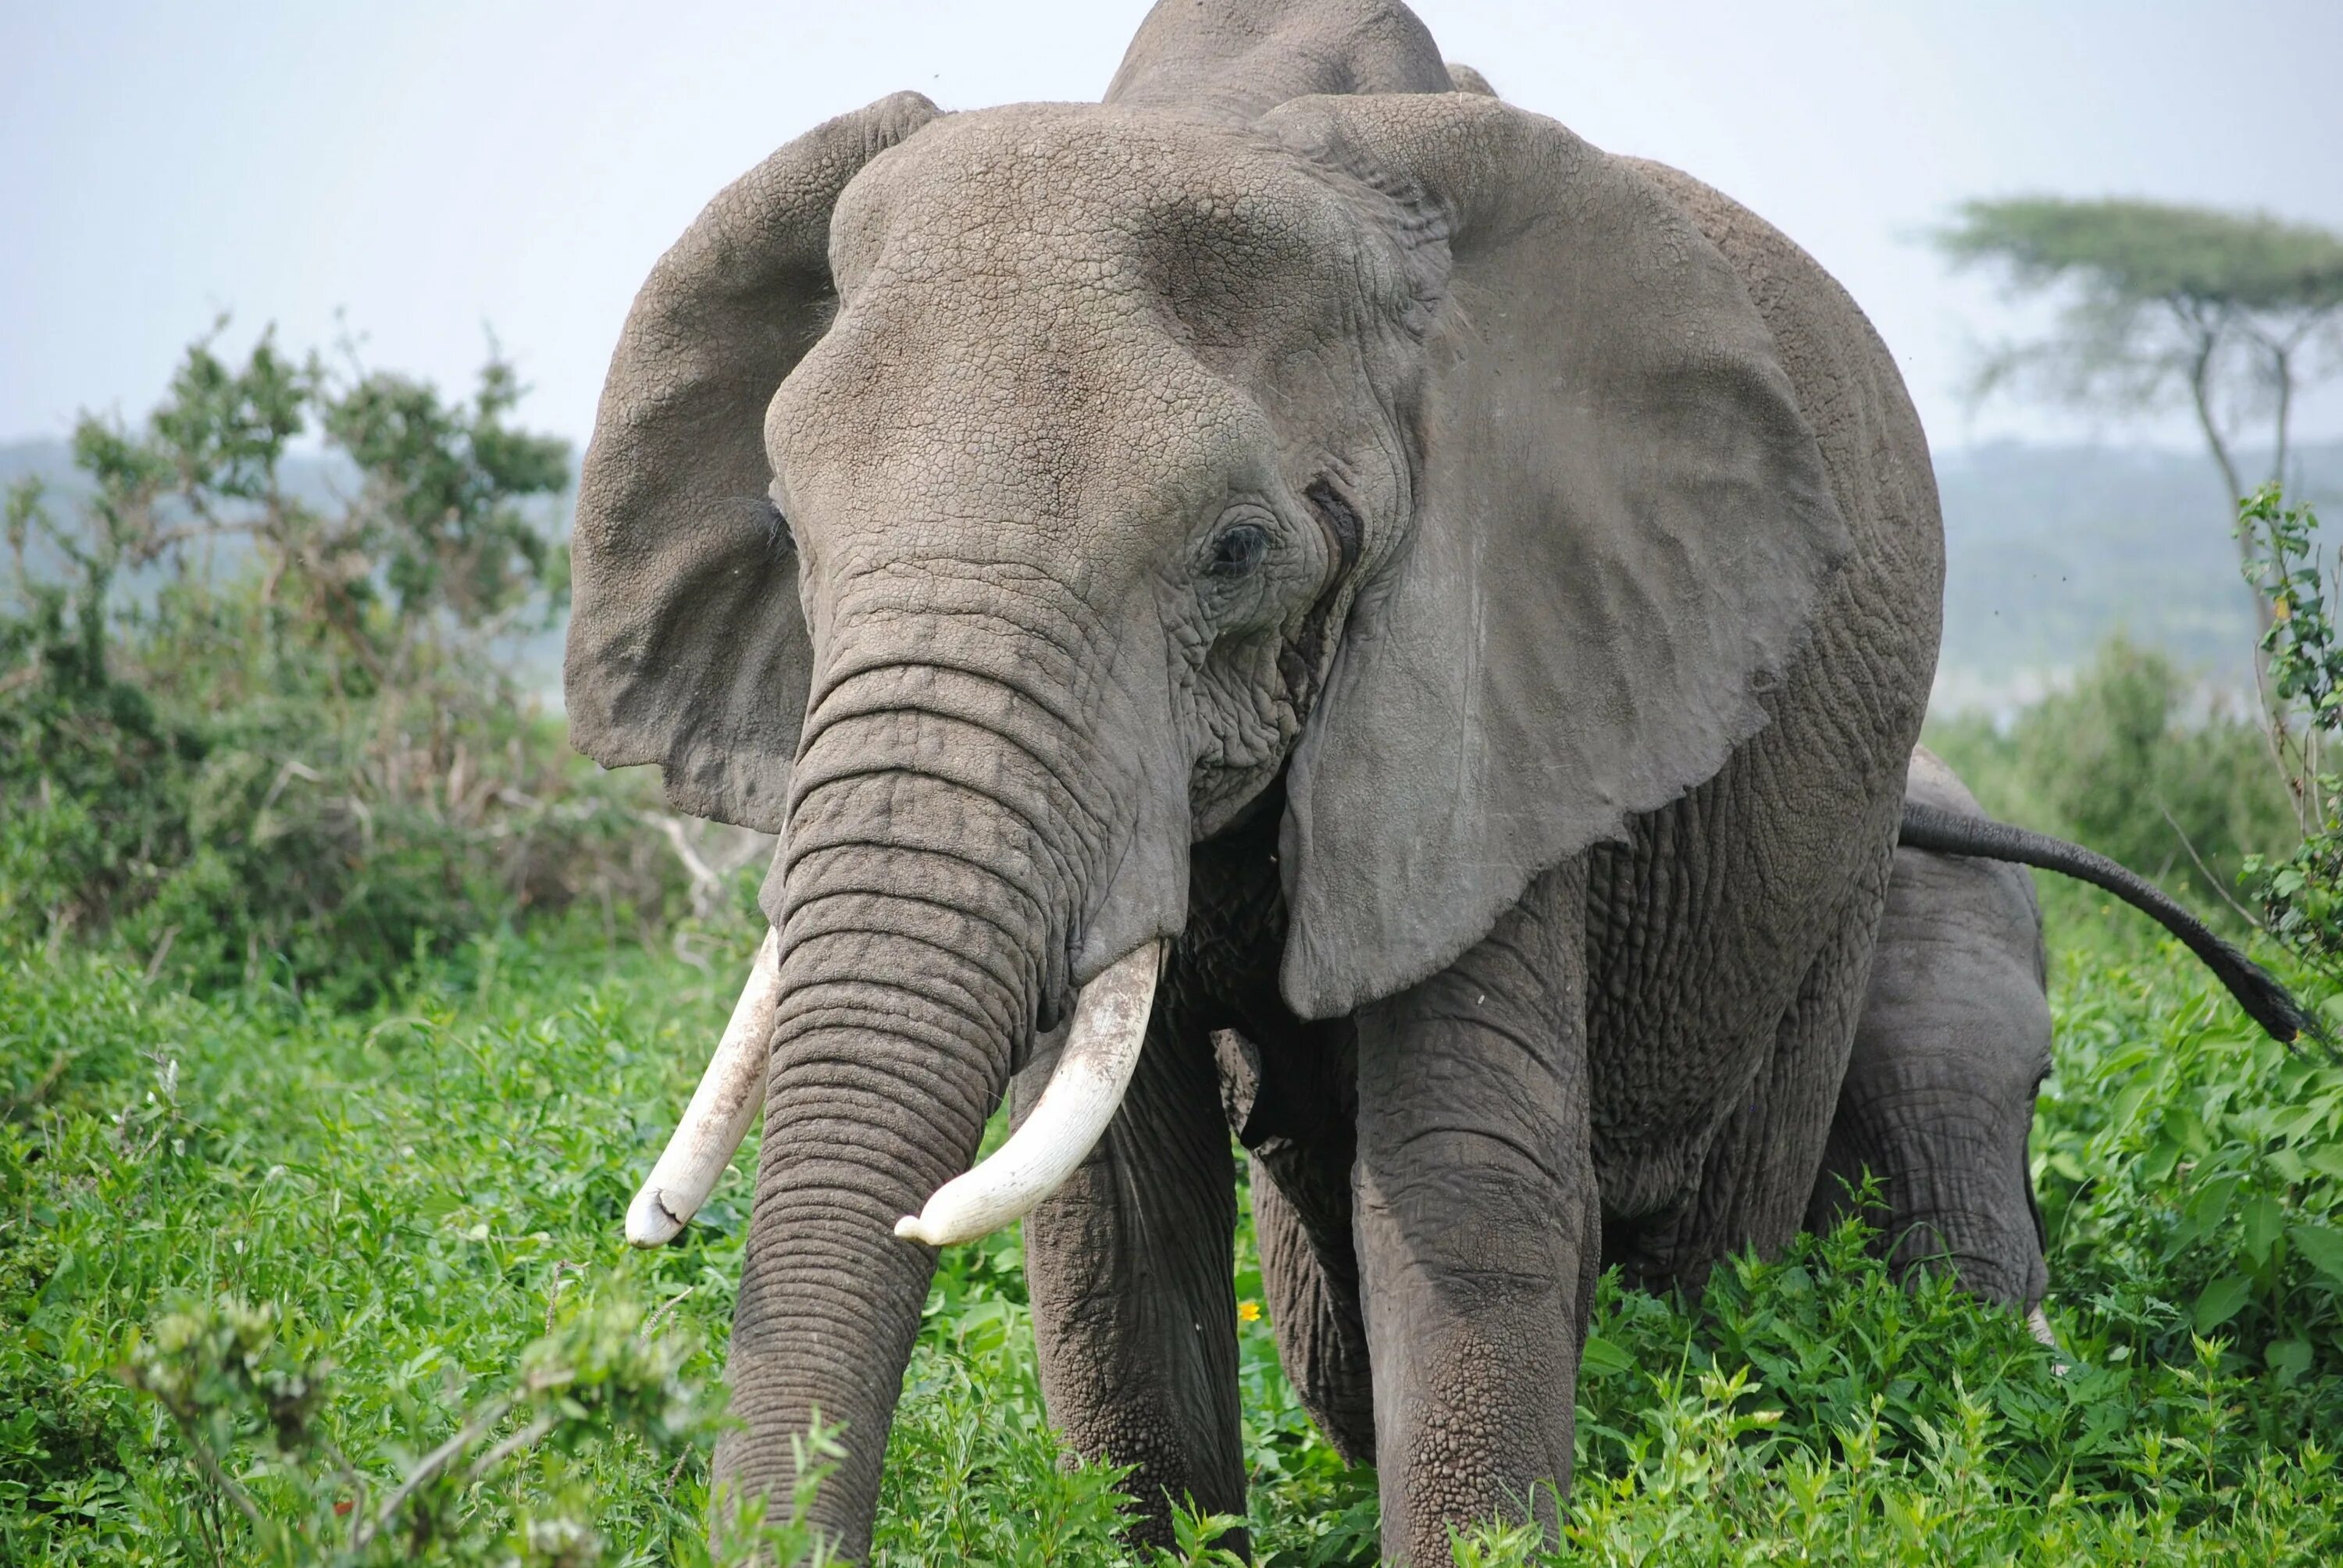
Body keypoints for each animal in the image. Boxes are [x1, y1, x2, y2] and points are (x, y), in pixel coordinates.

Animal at [558, 5, 1949, 1556]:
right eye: (786, 526)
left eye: (1234, 549)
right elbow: (1116, 1219)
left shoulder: (1499, 671)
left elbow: (1462, 1191)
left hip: (1840, 839)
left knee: (1721, 1228)